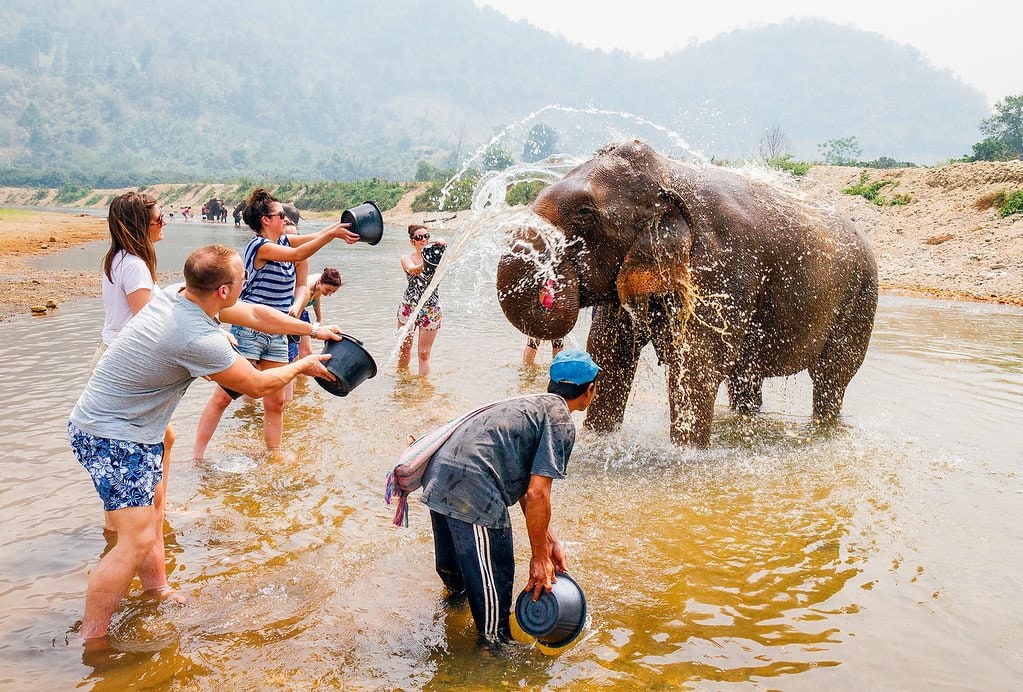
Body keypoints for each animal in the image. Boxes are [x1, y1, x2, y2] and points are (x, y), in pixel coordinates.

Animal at [496, 140, 877, 447]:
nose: (551, 281)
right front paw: (598, 440)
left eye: (585, 214)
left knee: (830, 377)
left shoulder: (722, 267)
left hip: (860, 300)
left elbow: (697, 364)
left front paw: (687, 457)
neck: (669, 173)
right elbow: (610, 351)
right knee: (745, 377)